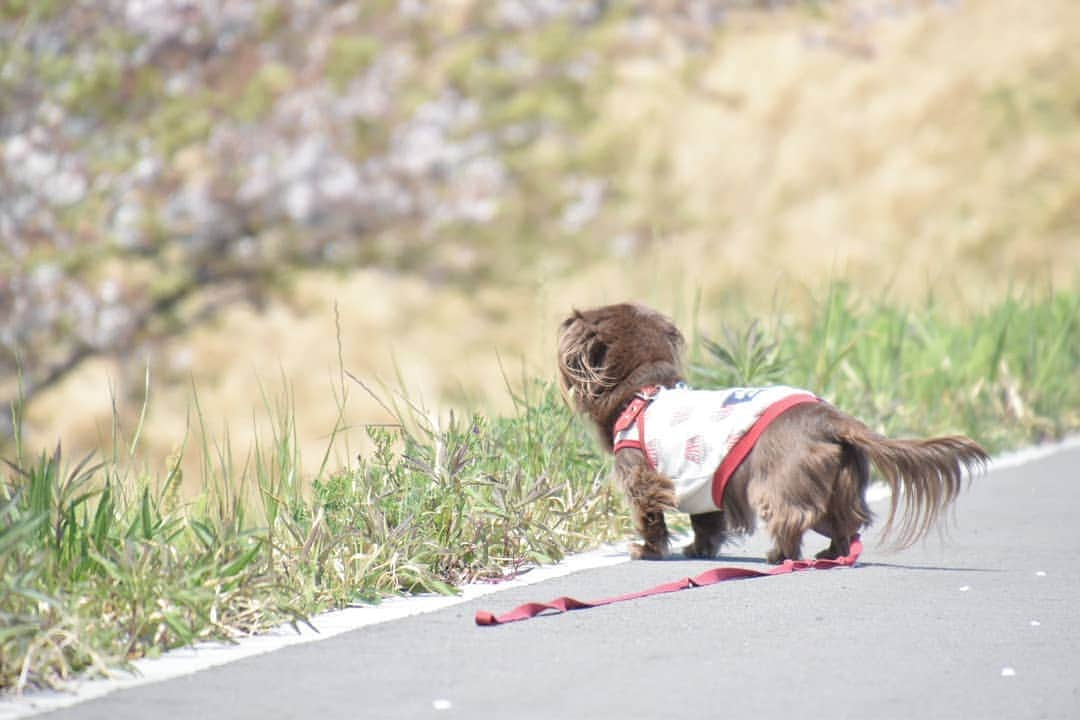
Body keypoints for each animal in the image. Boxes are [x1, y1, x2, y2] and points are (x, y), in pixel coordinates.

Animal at [561, 304, 989, 561]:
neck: (643, 393)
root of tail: (828, 418)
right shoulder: (700, 485)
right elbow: (706, 523)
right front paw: (698, 550)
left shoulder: (643, 478)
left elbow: (651, 518)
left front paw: (647, 551)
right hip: (840, 483)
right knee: (845, 524)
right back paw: (829, 555)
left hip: (776, 483)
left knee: (793, 519)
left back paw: (780, 556)